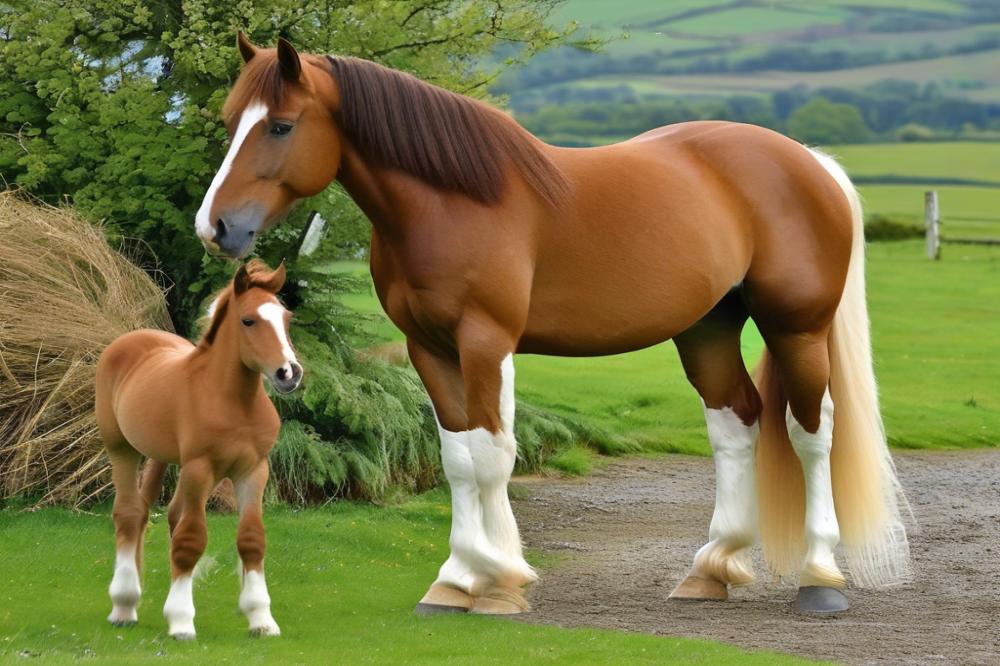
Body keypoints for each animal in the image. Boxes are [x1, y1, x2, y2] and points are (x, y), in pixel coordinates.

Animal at [97, 260, 300, 640]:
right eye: (248, 320)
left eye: (286, 318)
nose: (289, 373)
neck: (233, 401)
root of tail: (131, 340)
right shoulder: (198, 468)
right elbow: (191, 539)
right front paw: (180, 621)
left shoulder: (254, 470)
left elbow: (251, 539)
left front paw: (260, 618)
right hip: (121, 448)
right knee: (129, 513)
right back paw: (124, 604)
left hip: (161, 456)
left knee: (158, 513)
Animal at [191, 36, 912, 616]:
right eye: (230, 121)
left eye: (282, 126)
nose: (216, 227)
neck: (452, 202)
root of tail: (809, 161)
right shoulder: (430, 350)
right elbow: (456, 460)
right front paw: (454, 583)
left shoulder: (485, 343)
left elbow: (490, 458)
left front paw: (501, 583)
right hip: (707, 330)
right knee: (737, 425)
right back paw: (712, 569)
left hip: (798, 328)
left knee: (812, 432)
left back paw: (820, 577)